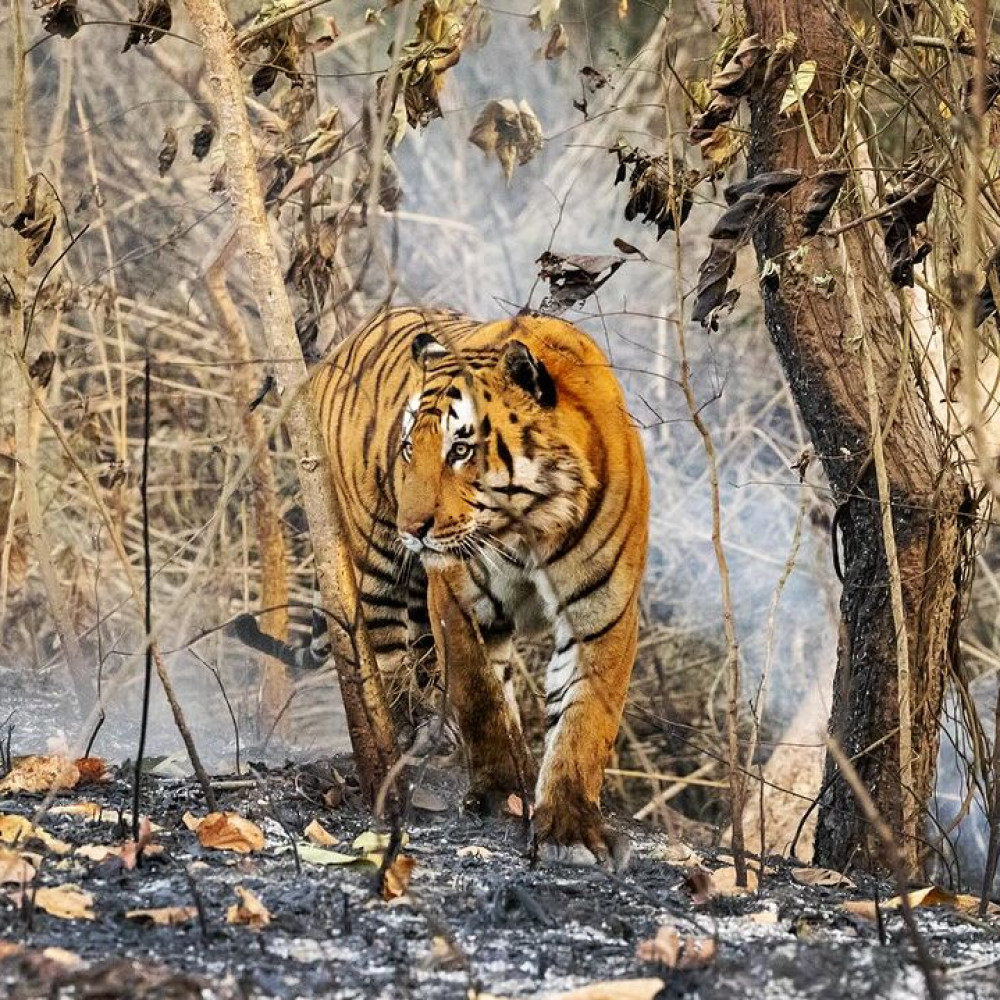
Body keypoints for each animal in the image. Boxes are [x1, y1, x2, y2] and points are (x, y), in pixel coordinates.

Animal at [240, 308, 648, 872]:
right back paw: (408, 737)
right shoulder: (456, 597)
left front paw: (569, 826)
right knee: (388, 662)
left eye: (461, 449)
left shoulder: (603, 612)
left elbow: (584, 722)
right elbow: (478, 695)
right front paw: (500, 792)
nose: (412, 527)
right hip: (372, 563)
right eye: (410, 447)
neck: (530, 524)